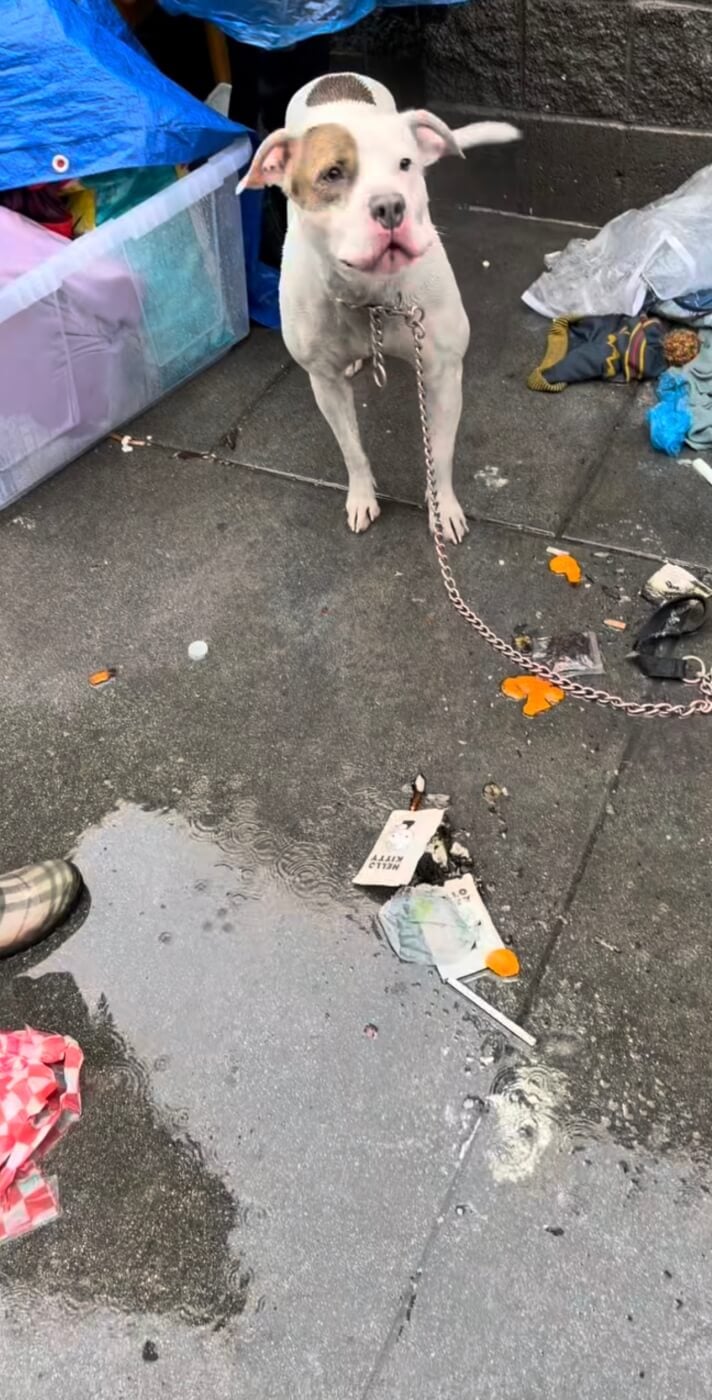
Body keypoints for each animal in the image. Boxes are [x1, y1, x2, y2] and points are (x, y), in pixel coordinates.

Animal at [238, 74, 519, 542]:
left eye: (405, 164)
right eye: (332, 174)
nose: (390, 206)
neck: (367, 296)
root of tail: (333, 78)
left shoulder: (443, 374)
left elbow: (441, 452)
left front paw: (443, 510)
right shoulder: (325, 383)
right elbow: (351, 449)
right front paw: (362, 496)